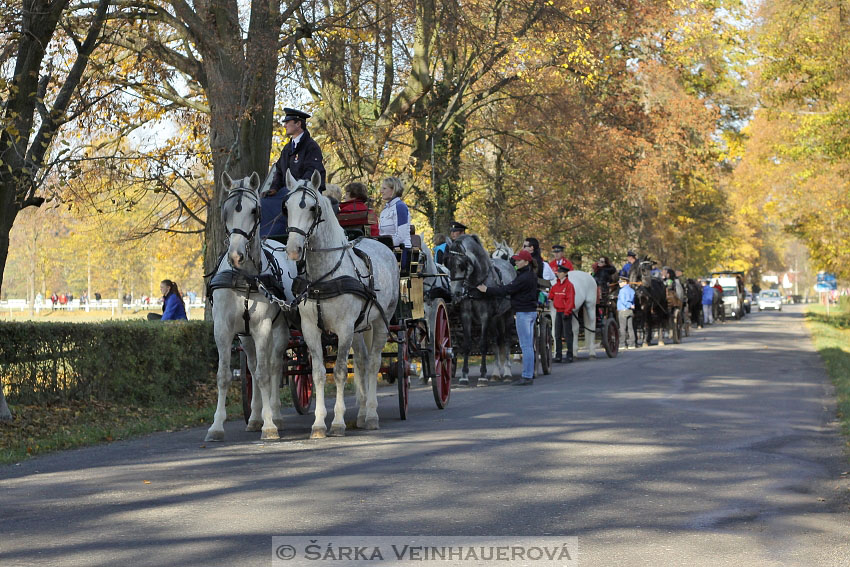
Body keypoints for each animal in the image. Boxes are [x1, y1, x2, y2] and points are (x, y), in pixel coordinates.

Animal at [204, 173, 296, 444]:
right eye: (224, 210)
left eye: (254, 211)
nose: (236, 255)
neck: (243, 277)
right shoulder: (223, 330)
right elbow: (224, 376)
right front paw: (216, 426)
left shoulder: (263, 328)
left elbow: (266, 374)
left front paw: (270, 426)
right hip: (245, 337)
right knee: (253, 369)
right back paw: (255, 417)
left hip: (280, 330)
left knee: (274, 366)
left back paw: (274, 414)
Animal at [284, 169, 400, 440]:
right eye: (287, 207)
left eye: (313, 208)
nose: (293, 250)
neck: (324, 276)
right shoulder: (310, 330)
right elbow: (317, 374)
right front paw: (318, 424)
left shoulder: (344, 329)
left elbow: (337, 372)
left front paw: (337, 423)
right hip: (359, 328)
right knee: (363, 362)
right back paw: (362, 415)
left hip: (382, 321)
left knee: (374, 363)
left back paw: (372, 415)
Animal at [440, 235, 512, 386]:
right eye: (447, 263)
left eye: (462, 264)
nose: (455, 293)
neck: (476, 284)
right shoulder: (465, 315)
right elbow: (467, 344)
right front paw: (464, 375)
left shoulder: (485, 316)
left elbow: (483, 344)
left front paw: (483, 375)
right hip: (495, 318)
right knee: (496, 340)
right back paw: (496, 372)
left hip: (508, 314)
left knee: (507, 339)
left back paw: (507, 372)